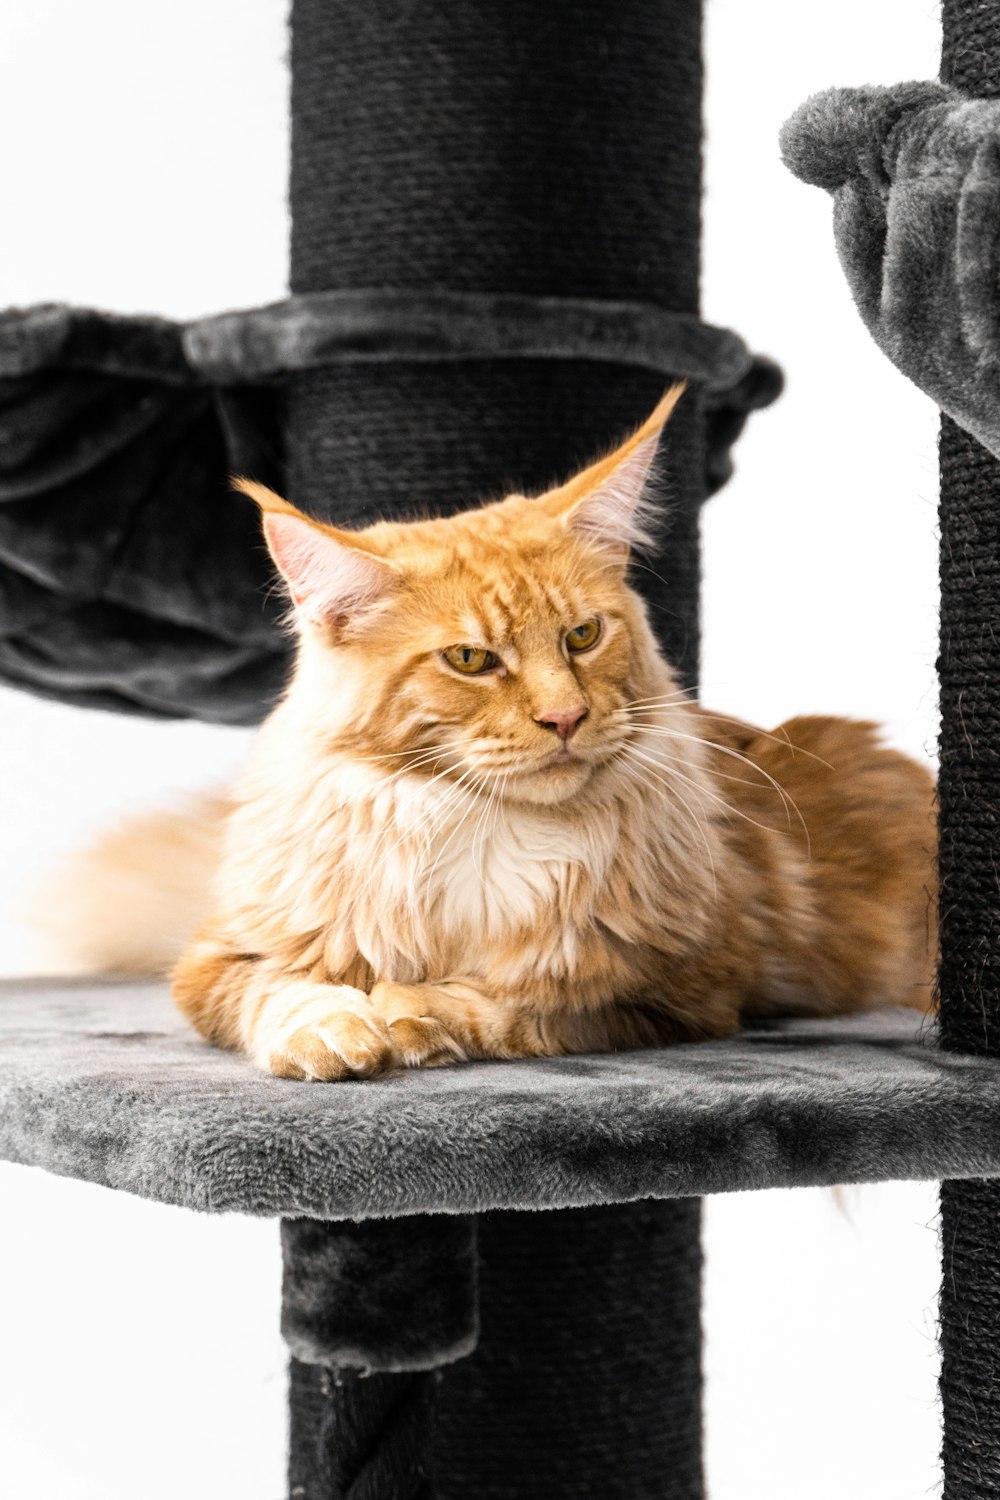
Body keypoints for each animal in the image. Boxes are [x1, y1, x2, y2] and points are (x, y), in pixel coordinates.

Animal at [166, 387, 941, 1080]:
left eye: (583, 636)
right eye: (470, 659)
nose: (566, 717)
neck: (482, 827)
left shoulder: (686, 989)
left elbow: (515, 1006)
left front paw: (413, 1009)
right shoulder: (221, 955)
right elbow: (280, 991)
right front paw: (333, 1030)